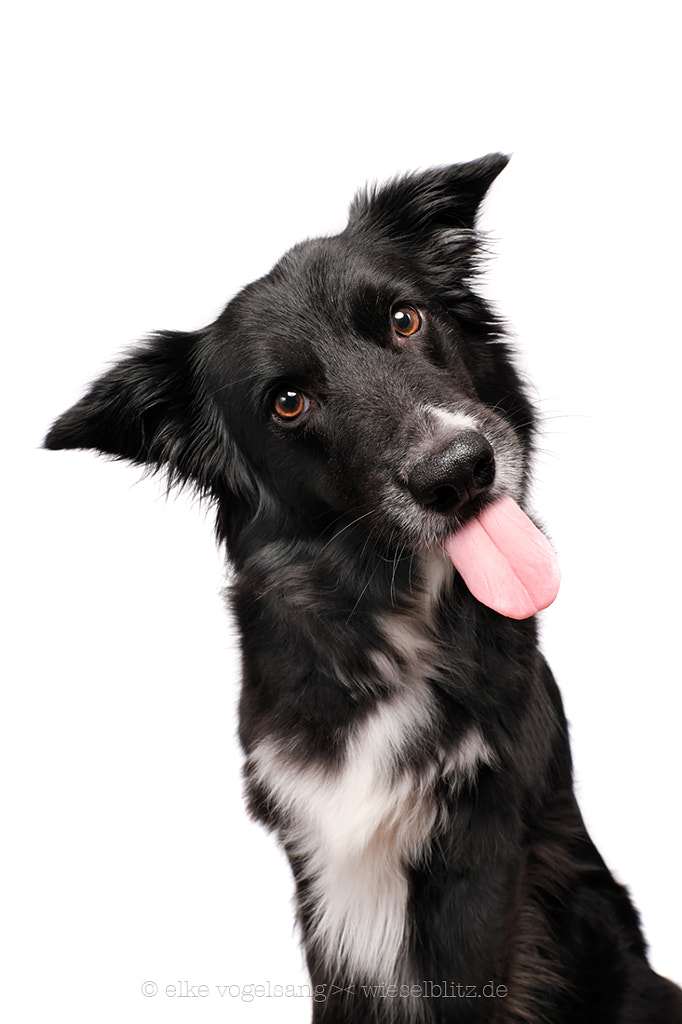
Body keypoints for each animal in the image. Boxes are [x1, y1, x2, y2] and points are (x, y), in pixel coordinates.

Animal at [43, 155, 679, 1019]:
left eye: (405, 320)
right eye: (288, 402)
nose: (460, 472)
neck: (387, 625)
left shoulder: (485, 852)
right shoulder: (320, 866)